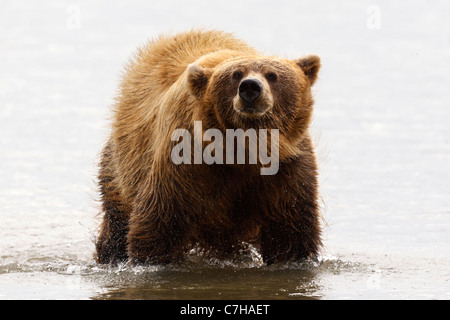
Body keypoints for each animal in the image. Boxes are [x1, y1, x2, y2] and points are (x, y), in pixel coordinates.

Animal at [95, 29, 322, 264]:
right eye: (236, 75)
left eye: (272, 75)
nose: (250, 87)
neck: (244, 148)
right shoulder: (186, 162)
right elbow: (159, 222)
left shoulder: (287, 168)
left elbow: (290, 228)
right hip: (122, 168)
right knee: (117, 222)